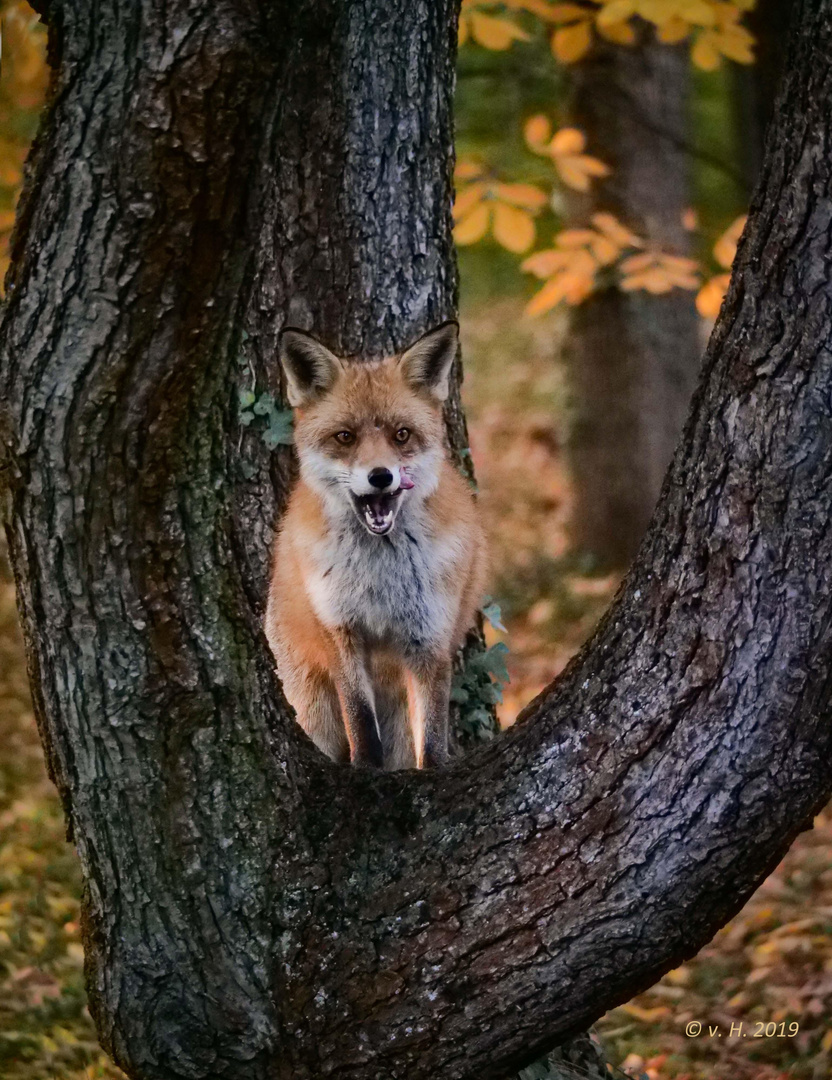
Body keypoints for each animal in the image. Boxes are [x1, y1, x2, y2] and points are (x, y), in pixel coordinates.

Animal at [265, 317, 486, 768]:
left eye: (401, 434)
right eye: (345, 437)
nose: (380, 476)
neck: (380, 574)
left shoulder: (429, 639)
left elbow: (433, 735)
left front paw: (433, 772)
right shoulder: (340, 630)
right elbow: (360, 721)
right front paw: (366, 768)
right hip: (314, 712)